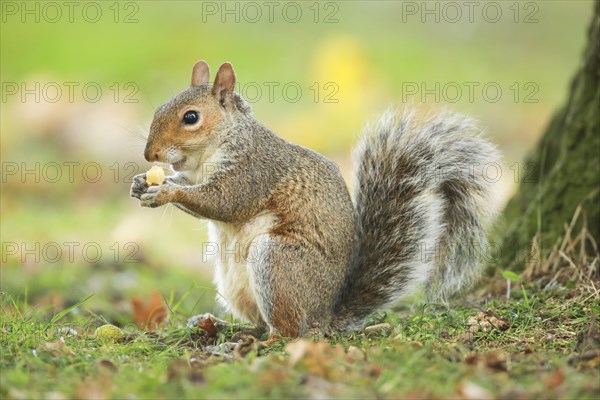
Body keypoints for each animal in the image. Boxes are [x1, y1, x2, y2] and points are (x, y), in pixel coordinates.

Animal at [131, 61, 502, 338]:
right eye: (160, 108)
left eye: (191, 117)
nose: (150, 154)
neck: (213, 151)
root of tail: (326, 315)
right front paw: (141, 184)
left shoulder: (254, 170)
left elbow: (224, 201)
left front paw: (166, 191)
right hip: (233, 283)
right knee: (260, 323)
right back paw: (224, 327)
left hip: (278, 262)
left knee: (290, 331)